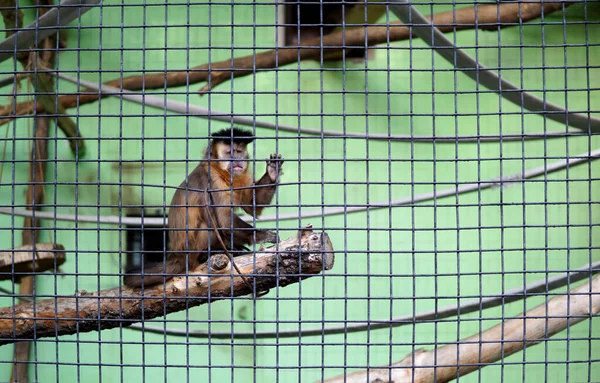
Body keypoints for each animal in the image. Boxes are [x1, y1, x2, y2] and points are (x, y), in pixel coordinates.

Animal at [123, 127, 284, 290]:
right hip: (191, 251)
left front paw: (272, 172)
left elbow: (252, 204)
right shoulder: (212, 181)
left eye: (239, 151)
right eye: (230, 152)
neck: (221, 171)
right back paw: (207, 255)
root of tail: (177, 256)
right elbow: (224, 221)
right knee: (209, 223)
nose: (237, 159)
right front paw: (261, 235)